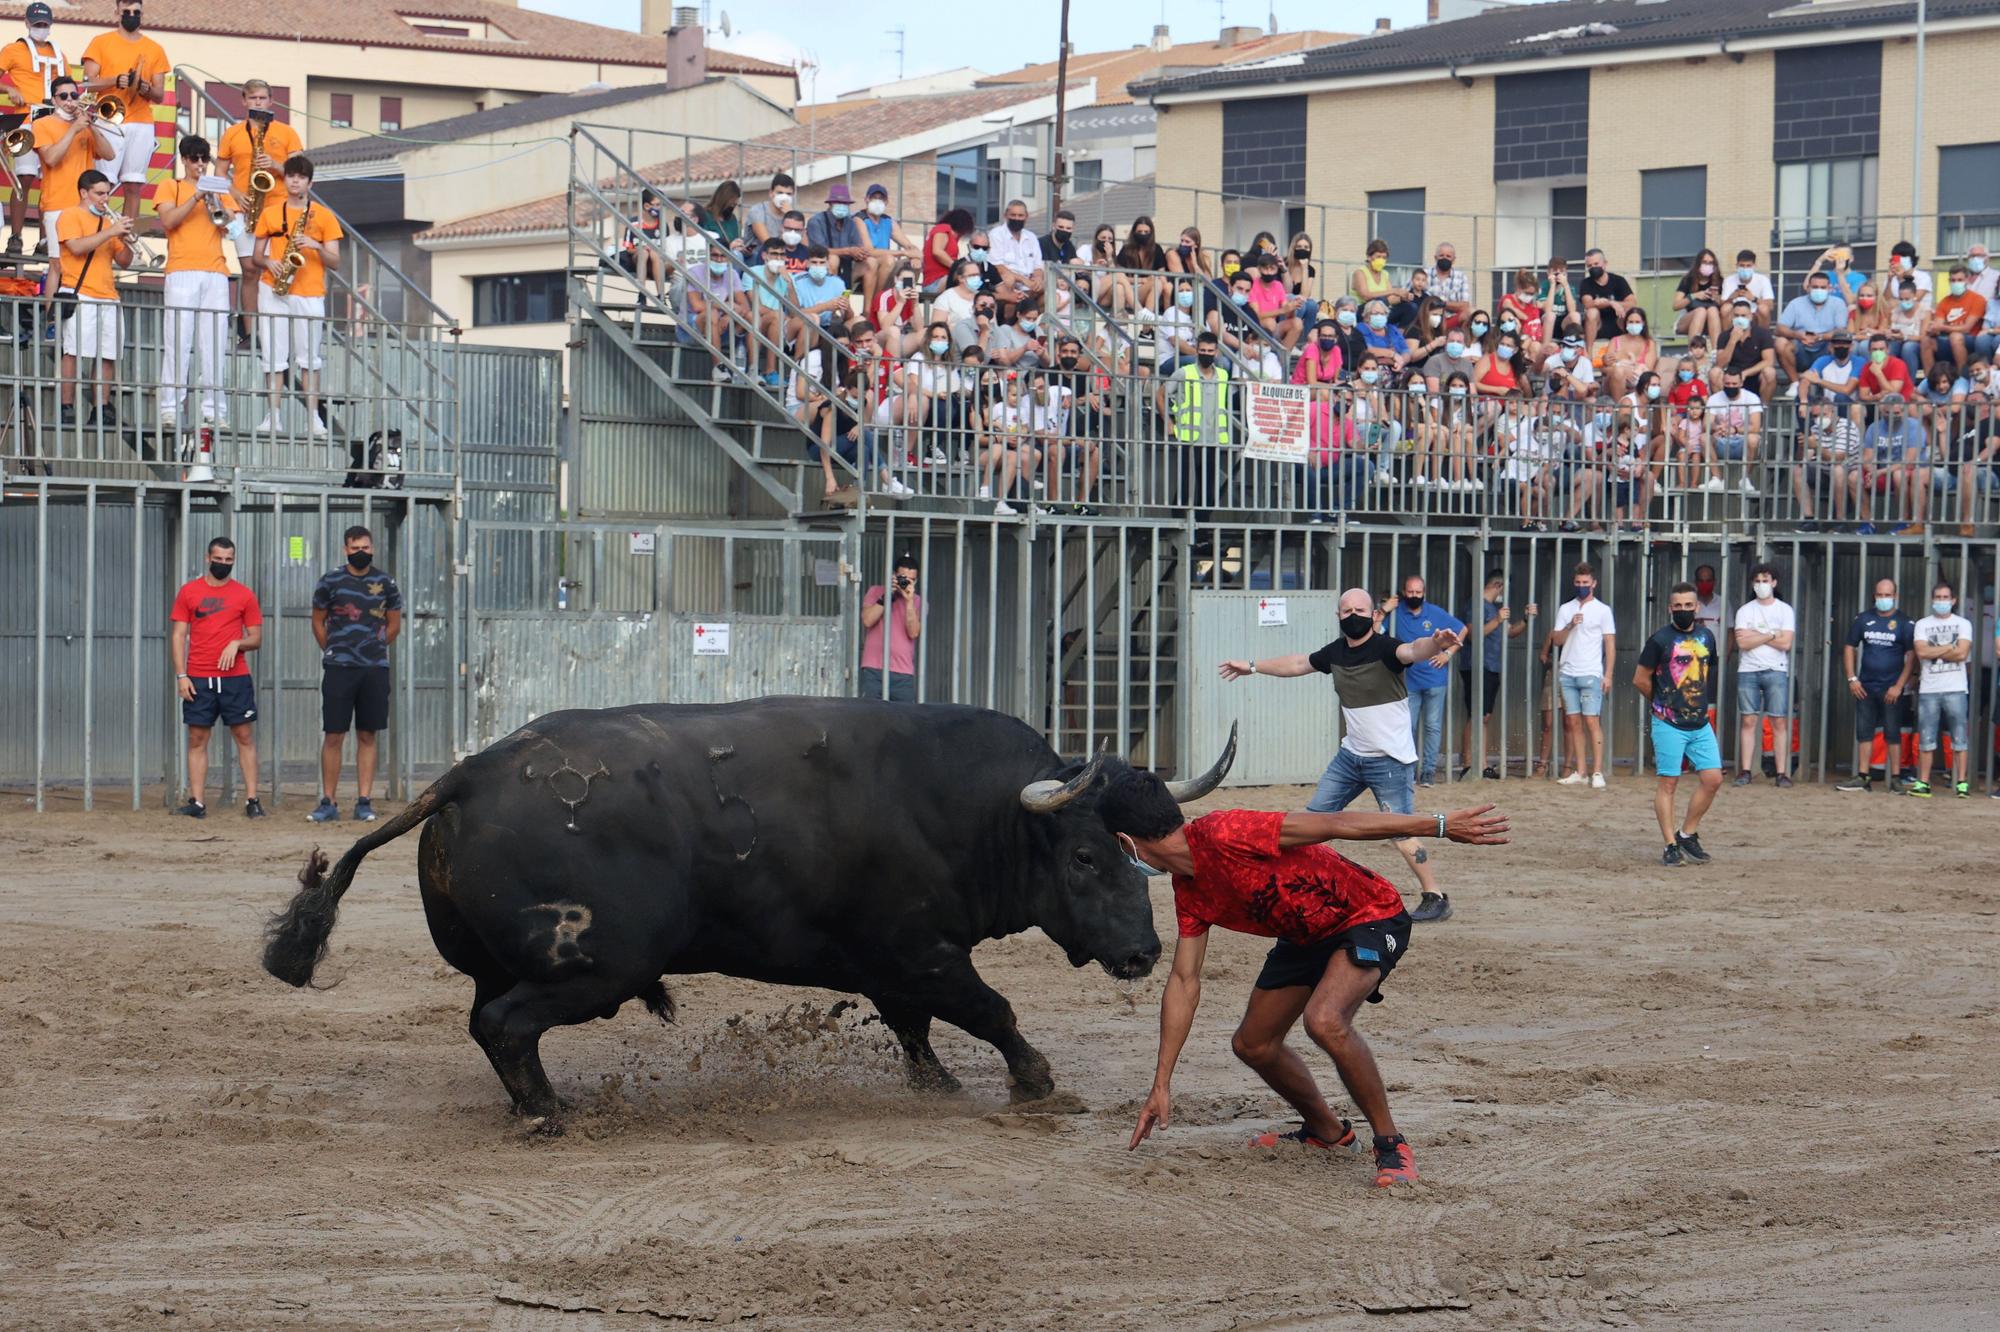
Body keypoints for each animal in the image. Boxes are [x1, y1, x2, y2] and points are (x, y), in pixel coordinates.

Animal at [266, 696, 1232, 1120]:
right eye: (1083, 856)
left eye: (1140, 856)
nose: (1144, 955)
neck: (959, 805)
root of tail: (469, 772)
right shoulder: (923, 950)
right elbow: (989, 1009)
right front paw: (1035, 1081)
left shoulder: (894, 963)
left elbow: (915, 1026)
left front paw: (936, 1082)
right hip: (598, 967)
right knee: (506, 1024)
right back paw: (546, 1112)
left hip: (508, 964)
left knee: (487, 1022)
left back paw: (534, 1101)